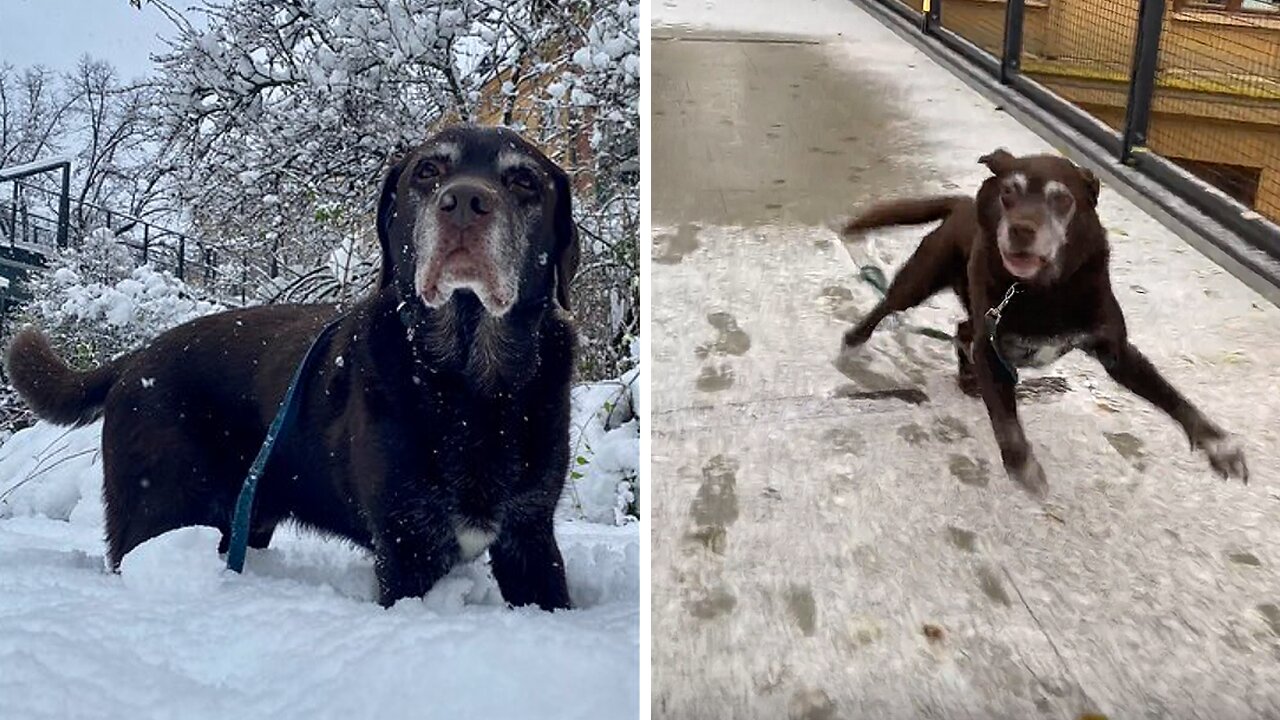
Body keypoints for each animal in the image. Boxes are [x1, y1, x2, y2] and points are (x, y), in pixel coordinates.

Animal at [839, 148, 1249, 497]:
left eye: (1061, 199)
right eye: (1009, 191)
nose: (1021, 229)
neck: (1044, 291)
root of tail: (963, 204)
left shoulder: (1117, 352)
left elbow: (1172, 396)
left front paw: (1218, 445)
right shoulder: (993, 352)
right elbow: (1006, 424)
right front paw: (1024, 468)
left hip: (972, 309)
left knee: (961, 331)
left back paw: (966, 377)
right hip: (920, 280)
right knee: (887, 307)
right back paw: (854, 340)